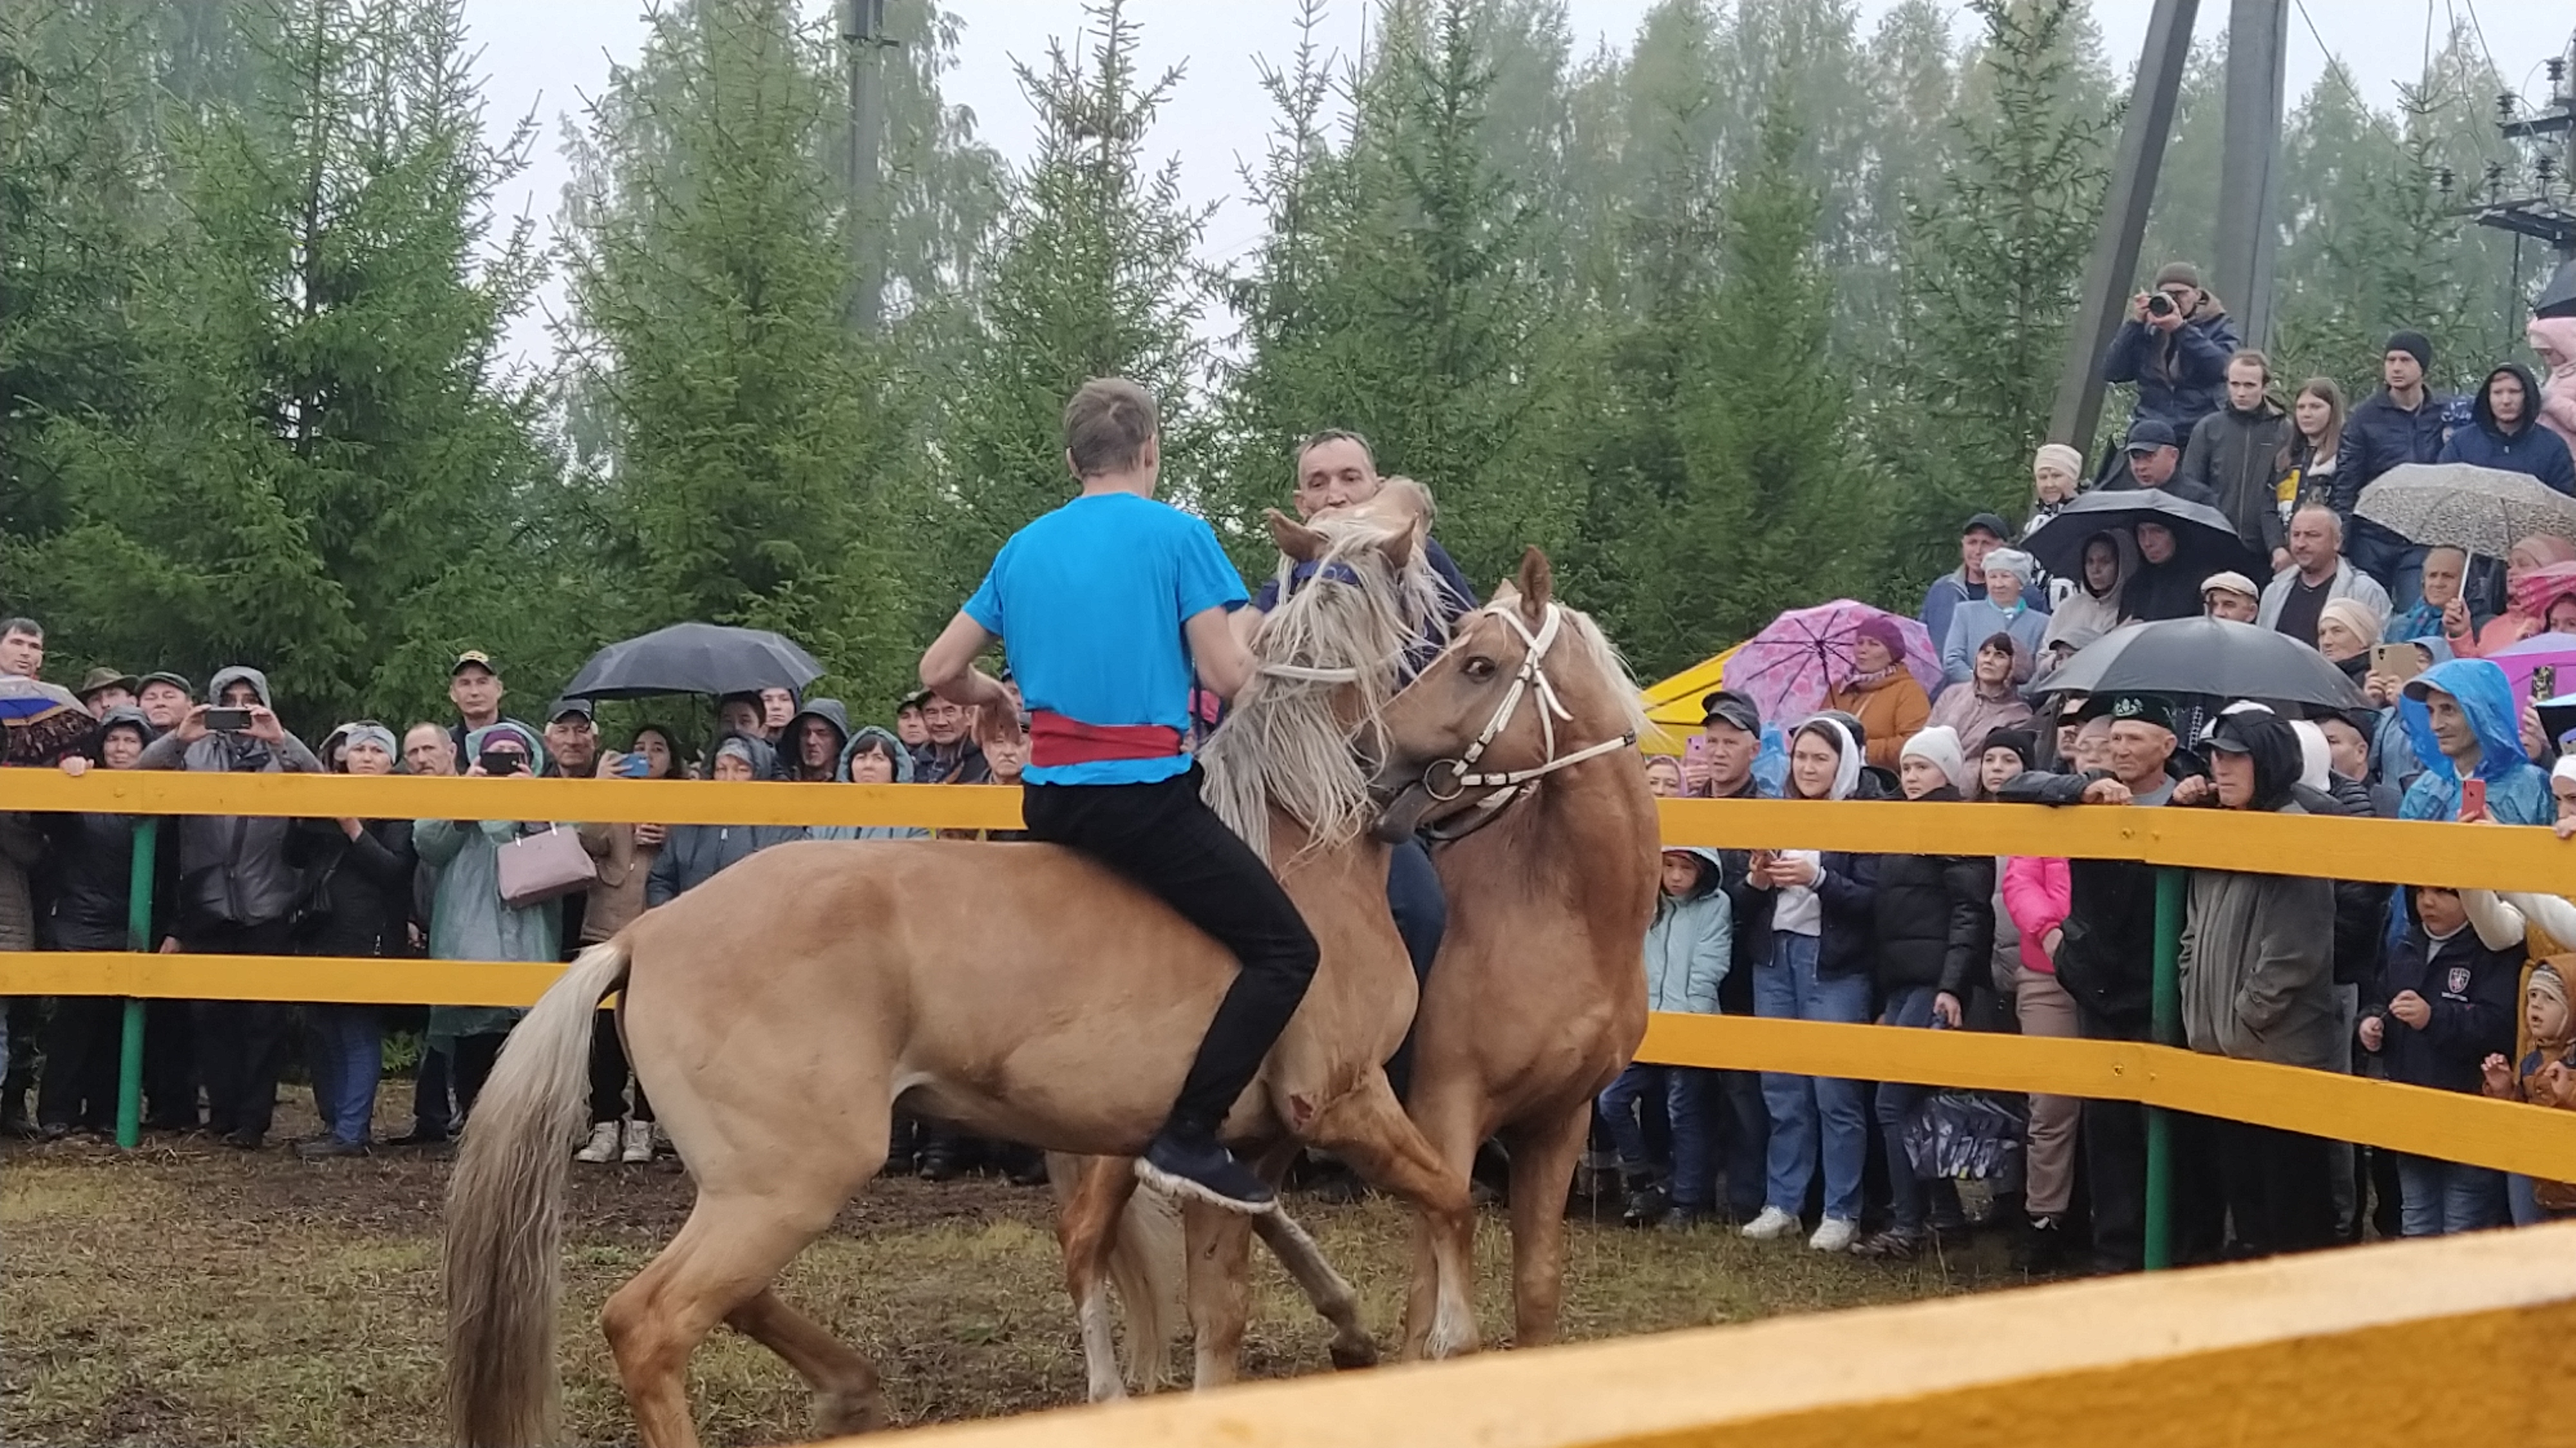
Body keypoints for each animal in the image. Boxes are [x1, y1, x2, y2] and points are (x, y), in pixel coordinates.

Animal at [446, 500, 1484, 1443]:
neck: (1299, 835)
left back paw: (852, 1390)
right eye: (1446, 606)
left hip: (752, 1186)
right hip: (785, 1183)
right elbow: (1449, 1198)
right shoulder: (1344, 1100)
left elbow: (1224, 1315)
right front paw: (1451, 1341)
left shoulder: (1248, 1149)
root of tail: (647, 934)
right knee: (649, 1324)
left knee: (733, 1302)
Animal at [1077, 546, 1659, 1381]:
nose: (1365, 757)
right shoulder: (1447, 1113)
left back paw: (1344, 1320)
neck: (1570, 914)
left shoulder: (1560, 1122)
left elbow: (1536, 1292)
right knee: (1086, 1237)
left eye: (1478, 664)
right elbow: (1433, 1302)